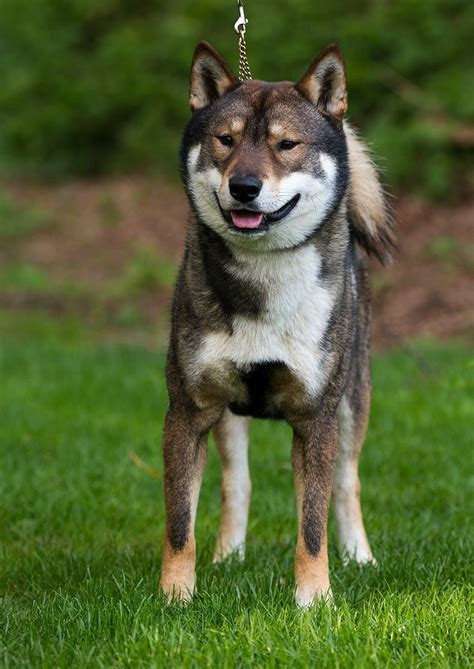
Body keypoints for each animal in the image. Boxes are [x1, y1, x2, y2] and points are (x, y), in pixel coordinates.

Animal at [161, 41, 394, 604]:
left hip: (354, 398)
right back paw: (228, 557)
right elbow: (180, 523)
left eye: (286, 144)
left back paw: (360, 558)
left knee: (347, 482)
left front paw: (315, 601)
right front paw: (174, 597)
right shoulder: (187, 412)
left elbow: (312, 525)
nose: (244, 187)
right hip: (227, 416)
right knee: (236, 482)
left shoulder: (316, 420)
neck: (264, 281)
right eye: (225, 140)